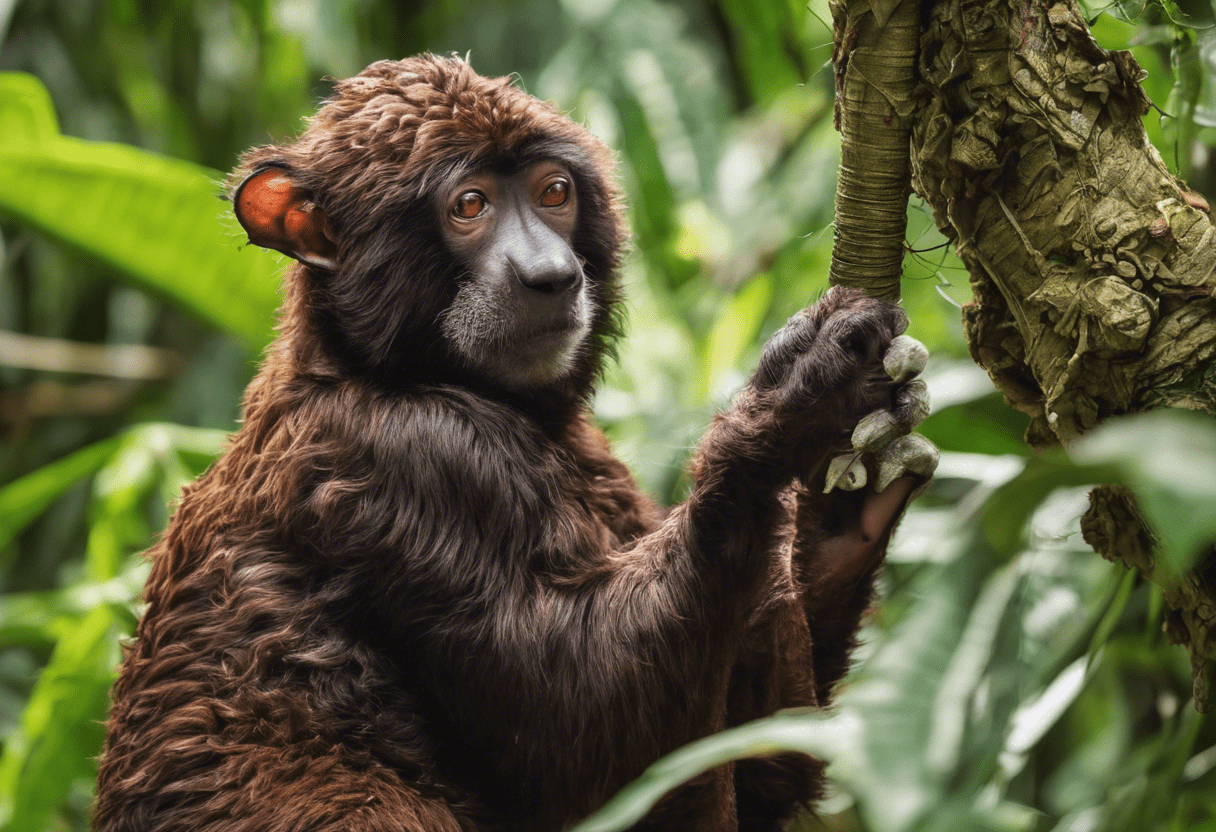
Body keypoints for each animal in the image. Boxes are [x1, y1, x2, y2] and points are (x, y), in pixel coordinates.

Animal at [94, 53, 933, 832]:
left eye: (553, 194)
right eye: (469, 206)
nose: (551, 275)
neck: (375, 369)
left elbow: (754, 761)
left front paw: (838, 524)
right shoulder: (409, 461)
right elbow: (588, 737)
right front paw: (790, 410)